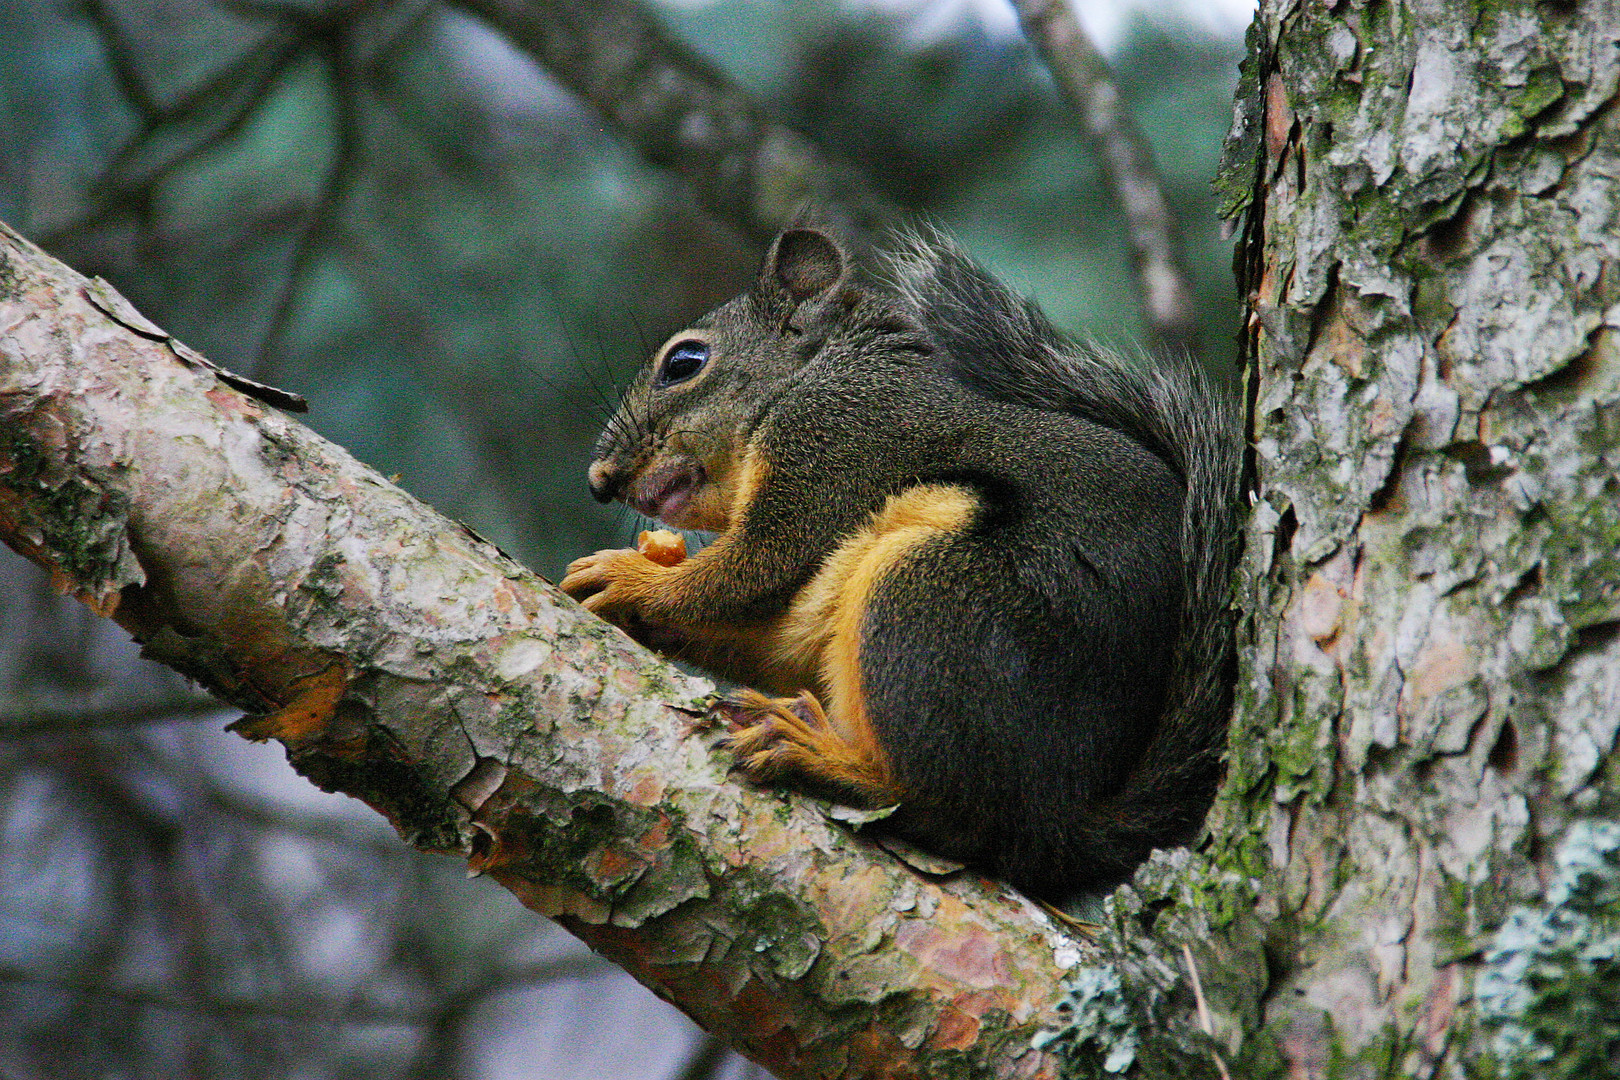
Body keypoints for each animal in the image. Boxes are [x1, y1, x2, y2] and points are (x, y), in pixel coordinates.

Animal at [557, 223, 1237, 900]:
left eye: (684, 363)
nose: (597, 480)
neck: (813, 375)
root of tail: (1059, 827)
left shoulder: (831, 443)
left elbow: (751, 568)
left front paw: (633, 580)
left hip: (932, 602)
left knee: (949, 812)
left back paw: (817, 756)